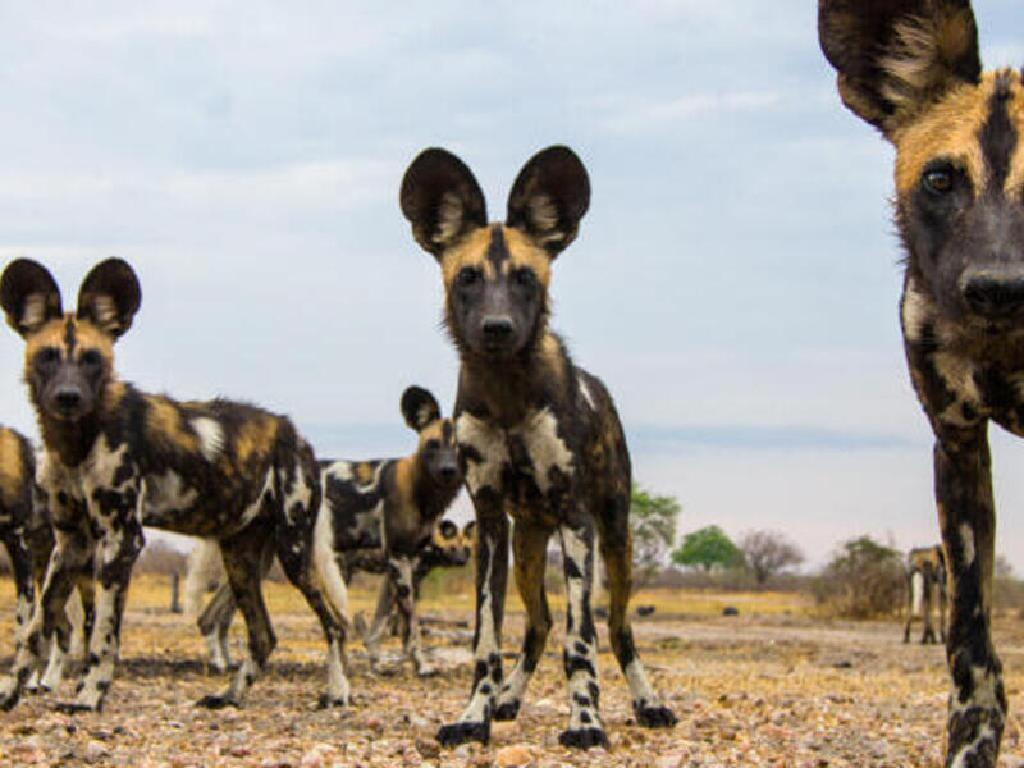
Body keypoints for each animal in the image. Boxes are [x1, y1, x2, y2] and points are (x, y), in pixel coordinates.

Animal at [0, 260, 352, 716]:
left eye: (92, 359)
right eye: (47, 357)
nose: (68, 397)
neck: (75, 442)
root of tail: (298, 438)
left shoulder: (122, 540)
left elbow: (103, 639)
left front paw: (89, 697)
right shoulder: (70, 545)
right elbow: (33, 630)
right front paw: (10, 693)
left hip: (294, 553)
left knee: (335, 625)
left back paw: (337, 693)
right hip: (239, 559)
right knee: (263, 636)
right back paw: (230, 696)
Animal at [192, 387, 464, 675]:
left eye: (462, 449)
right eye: (433, 445)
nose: (448, 471)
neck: (419, 489)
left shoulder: (399, 568)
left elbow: (386, 624)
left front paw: (378, 663)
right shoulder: (398, 560)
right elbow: (410, 624)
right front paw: (420, 666)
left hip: (259, 562)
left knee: (211, 616)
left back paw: (226, 663)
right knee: (212, 618)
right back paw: (222, 664)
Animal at [399, 145, 679, 753]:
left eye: (526, 278)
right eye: (468, 278)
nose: (497, 327)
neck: (508, 392)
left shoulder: (577, 519)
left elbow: (582, 640)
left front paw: (587, 724)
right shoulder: (489, 524)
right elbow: (487, 639)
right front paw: (475, 715)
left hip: (616, 539)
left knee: (617, 629)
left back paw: (649, 704)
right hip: (528, 547)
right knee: (538, 625)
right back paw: (507, 700)